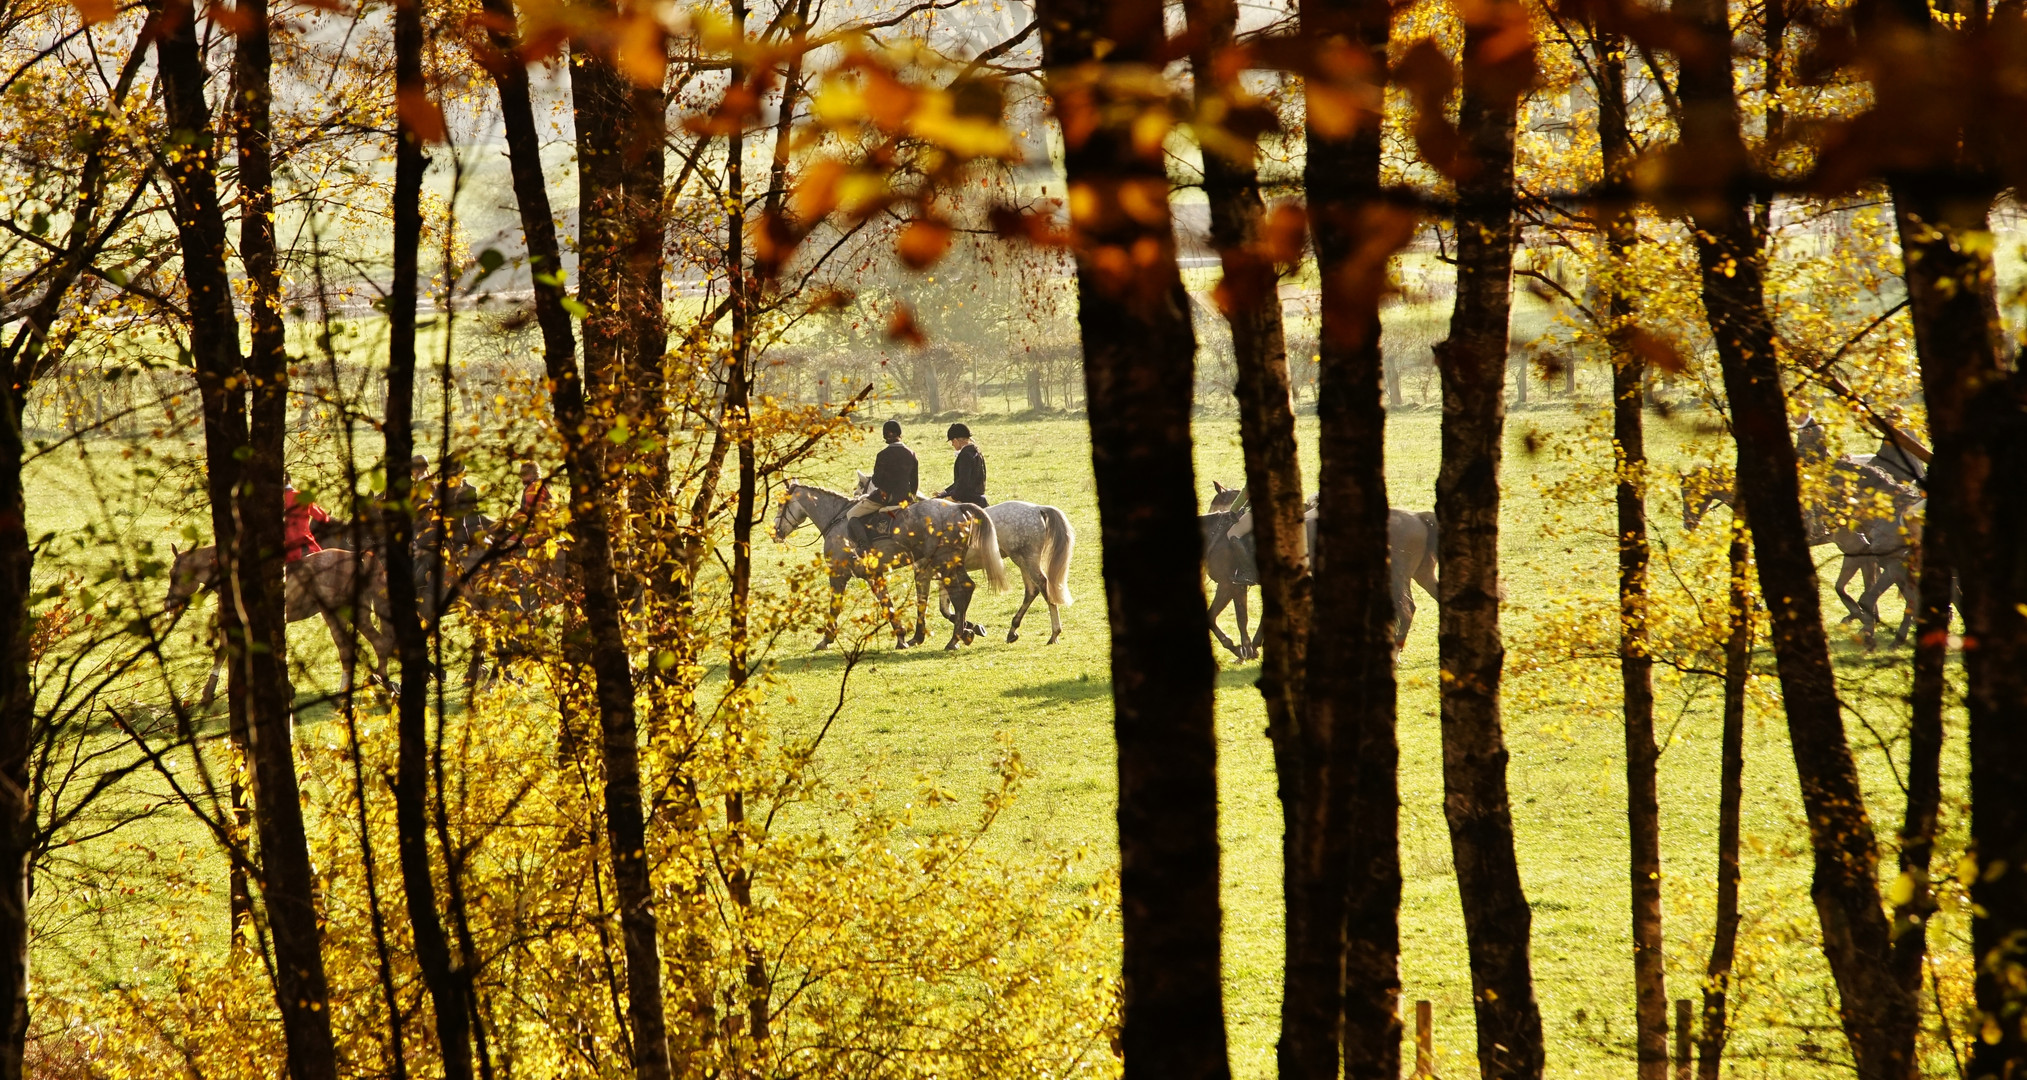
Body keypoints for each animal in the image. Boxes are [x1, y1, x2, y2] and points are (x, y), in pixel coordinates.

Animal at [166, 543, 395, 705]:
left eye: (174, 575)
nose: (168, 604)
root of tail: (357, 556)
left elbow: (223, 651)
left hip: (334, 615)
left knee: (348, 649)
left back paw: (345, 693)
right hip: (358, 614)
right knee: (379, 643)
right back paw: (383, 680)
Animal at [770, 480, 1009, 648]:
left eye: (781, 503)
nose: (775, 533)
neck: (836, 520)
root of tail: (957, 508)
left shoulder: (838, 574)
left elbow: (834, 607)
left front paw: (825, 640)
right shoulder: (874, 575)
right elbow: (887, 604)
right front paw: (902, 637)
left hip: (945, 563)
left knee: (959, 593)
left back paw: (955, 639)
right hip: (951, 563)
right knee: (966, 589)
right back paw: (963, 634)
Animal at [851, 470, 1078, 640]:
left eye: (861, 487)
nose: (855, 498)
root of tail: (1038, 508)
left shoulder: (928, 570)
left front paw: (966, 629)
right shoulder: (941, 572)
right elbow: (946, 608)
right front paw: (970, 627)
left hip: (1026, 558)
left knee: (1043, 585)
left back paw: (1054, 633)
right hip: (1022, 560)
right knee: (1032, 590)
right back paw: (1013, 630)